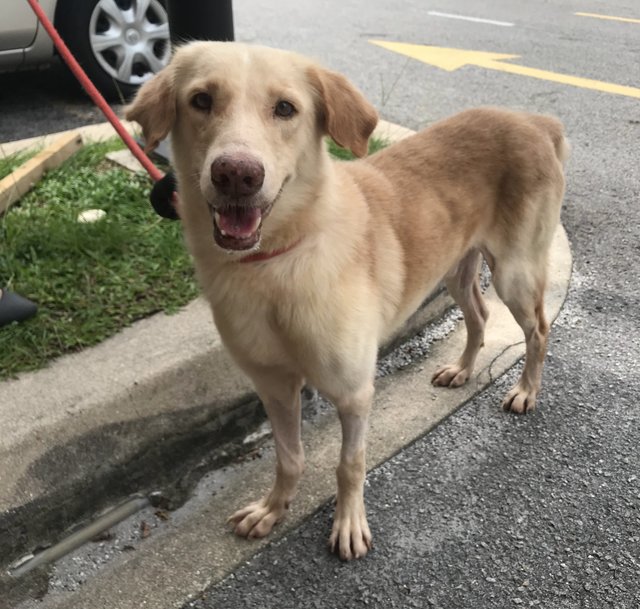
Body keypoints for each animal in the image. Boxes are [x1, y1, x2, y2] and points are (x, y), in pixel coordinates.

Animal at [127, 40, 568, 560]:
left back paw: (526, 390)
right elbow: (289, 458)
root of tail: (533, 121)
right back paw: (462, 369)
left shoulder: (354, 392)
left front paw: (348, 523)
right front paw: (273, 509)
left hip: (515, 273)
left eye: (285, 108)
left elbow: (348, 465)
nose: (236, 173)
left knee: (538, 330)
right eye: (200, 100)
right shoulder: (274, 386)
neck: (274, 266)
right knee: (479, 315)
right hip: (457, 269)